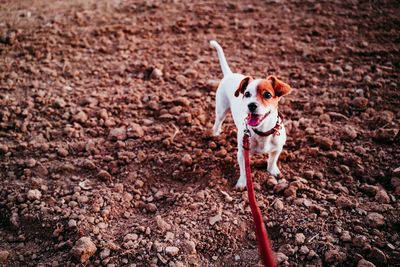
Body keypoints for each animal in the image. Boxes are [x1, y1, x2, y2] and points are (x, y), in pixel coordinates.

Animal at [211, 40, 292, 187]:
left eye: (267, 94)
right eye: (247, 93)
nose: (251, 105)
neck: (262, 131)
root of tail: (230, 74)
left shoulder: (277, 148)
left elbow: (272, 160)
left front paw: (273, 171)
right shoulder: (242, 153)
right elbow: (244, 171)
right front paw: (242, 183)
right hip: (221, 110)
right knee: (217, 122)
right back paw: (215, 134)